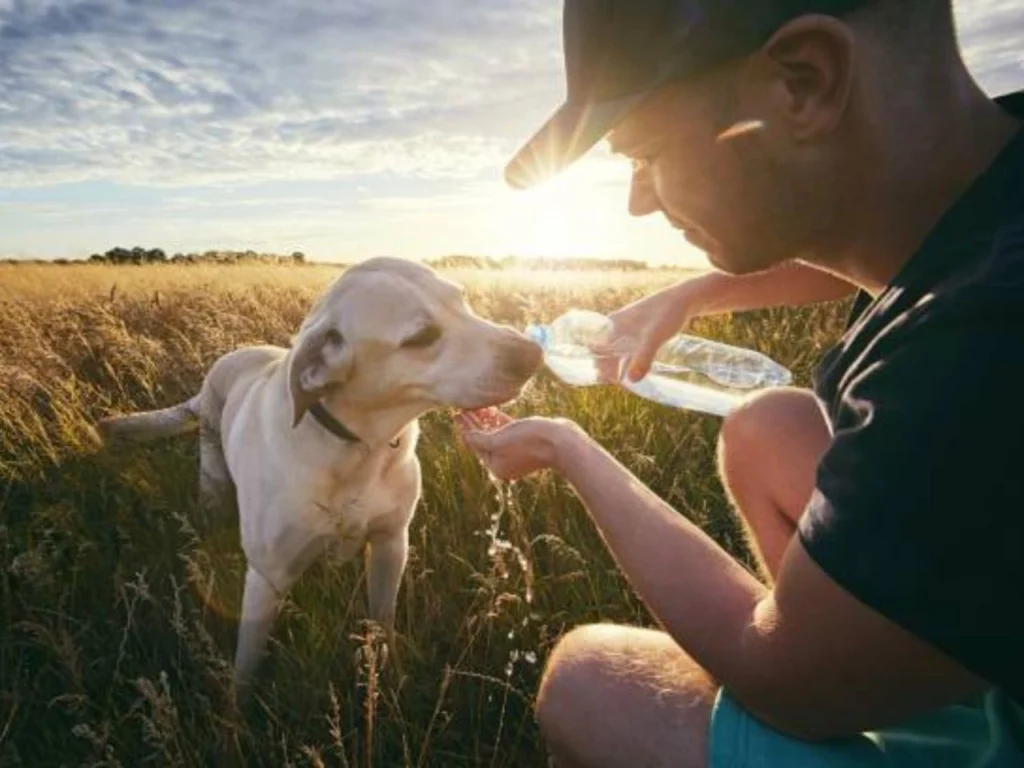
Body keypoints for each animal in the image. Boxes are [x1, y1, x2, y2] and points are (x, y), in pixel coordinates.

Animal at [96, 257, 544, 692]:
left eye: (462, 300)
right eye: (421, 337)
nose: (533, 354)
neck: (359, 448)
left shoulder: (391, 543)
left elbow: (382, 621)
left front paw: (388, 679)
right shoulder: (268, 577)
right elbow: (247, 663)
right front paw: (237, 713)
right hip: (212, 468)